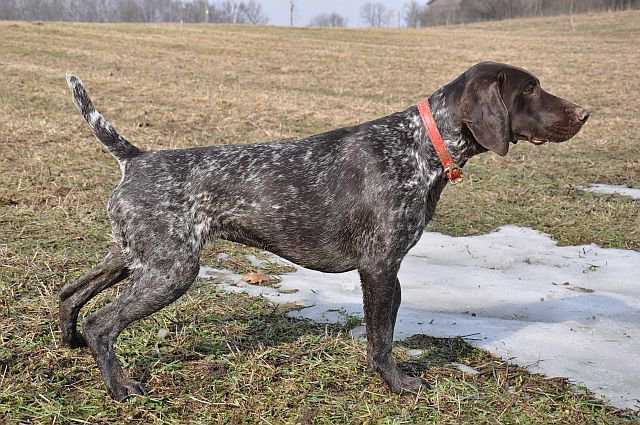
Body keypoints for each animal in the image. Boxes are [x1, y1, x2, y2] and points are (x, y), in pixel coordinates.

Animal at [58, 61, 592, 400]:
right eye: (530, 90)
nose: (585, 113)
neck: (421, 146)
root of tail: (136, 159)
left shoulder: (388, 270)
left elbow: (384, 332)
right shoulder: (380, 267)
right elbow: (381, 339)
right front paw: (397, 386)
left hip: (133, 256)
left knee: (70, 294)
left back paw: (70, 342)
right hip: (171, 270)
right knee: (102, 321)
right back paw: (120, 387)